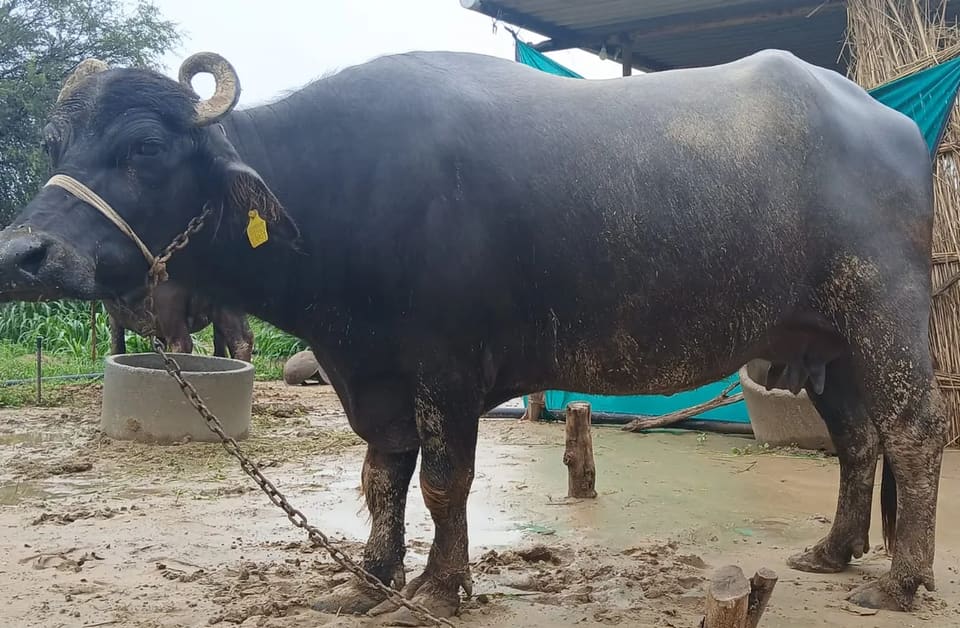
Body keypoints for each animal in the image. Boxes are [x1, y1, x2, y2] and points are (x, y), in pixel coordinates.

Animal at [0, 49, 945, 622]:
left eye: (145, 146)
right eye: (55, 141)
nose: (24, 253)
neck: (343, 190)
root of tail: (893, 123)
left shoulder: (446, 367)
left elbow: (444, 480)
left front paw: (441, 586)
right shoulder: (370, 368)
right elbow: (383, 477)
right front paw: (371, 581)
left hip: (888, 313)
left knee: (914, 433)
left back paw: (900, 580)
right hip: (828, 341)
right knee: (858, 440)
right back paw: (833, 552)